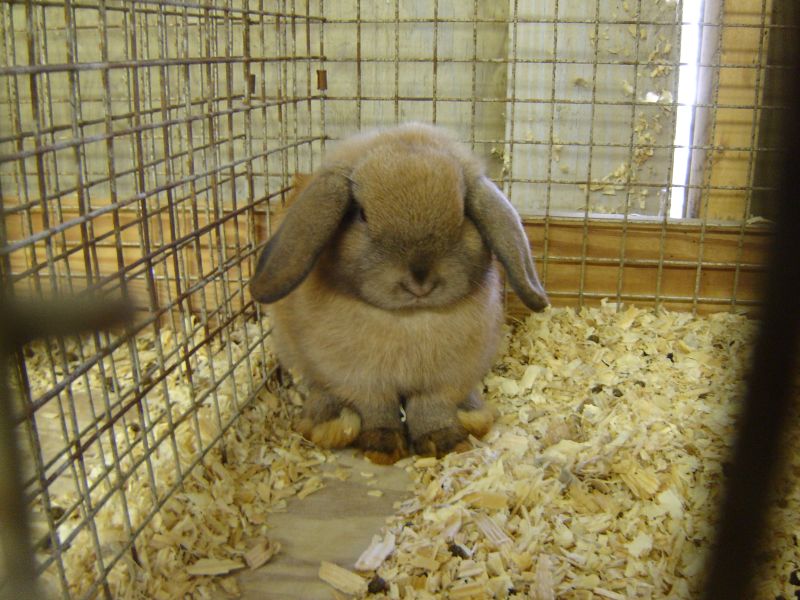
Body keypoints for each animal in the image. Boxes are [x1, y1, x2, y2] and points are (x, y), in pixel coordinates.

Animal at [250, 123, 552, 464]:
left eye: (463, 213)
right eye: (362, 214)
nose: (420, 281)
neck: (409, 319)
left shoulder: (444, 380)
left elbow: (430, 408)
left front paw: (444, 441)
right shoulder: (360, 379)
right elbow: (377, 409)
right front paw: (382, 447)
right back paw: (328, 422)